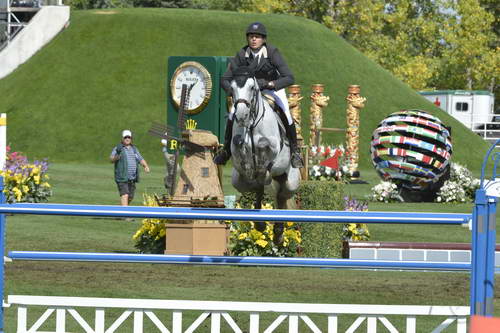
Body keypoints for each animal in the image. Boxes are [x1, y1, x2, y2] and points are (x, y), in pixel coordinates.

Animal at [229, 63, 300, 243]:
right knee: (258, 189)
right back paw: (261, 224)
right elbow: (238, 144)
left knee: (281, 197)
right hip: (238, 181)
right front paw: (249, 166)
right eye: (232, 88)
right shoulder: (236, 148)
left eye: (252, 87)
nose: (241, 115)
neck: (252, 123)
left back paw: (279, 233)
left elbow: (263, 144)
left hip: (290, 181)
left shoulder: (273, 146)